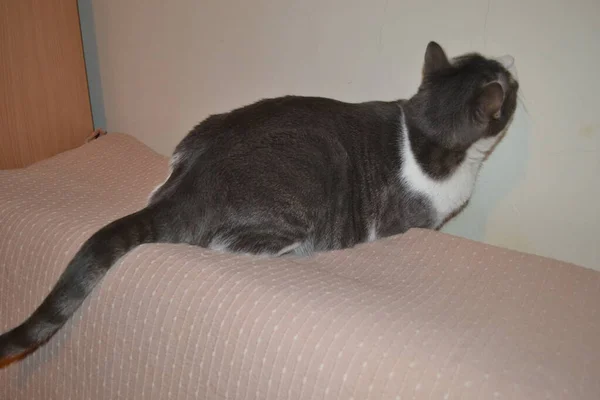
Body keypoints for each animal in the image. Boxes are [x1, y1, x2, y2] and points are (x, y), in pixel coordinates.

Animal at [0, 41, 516, 366]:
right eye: (507, 81)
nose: (512, 60)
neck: (424, 130)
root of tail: (191, 182)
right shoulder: (408, 225)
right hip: (301, 192)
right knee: (225, 246)